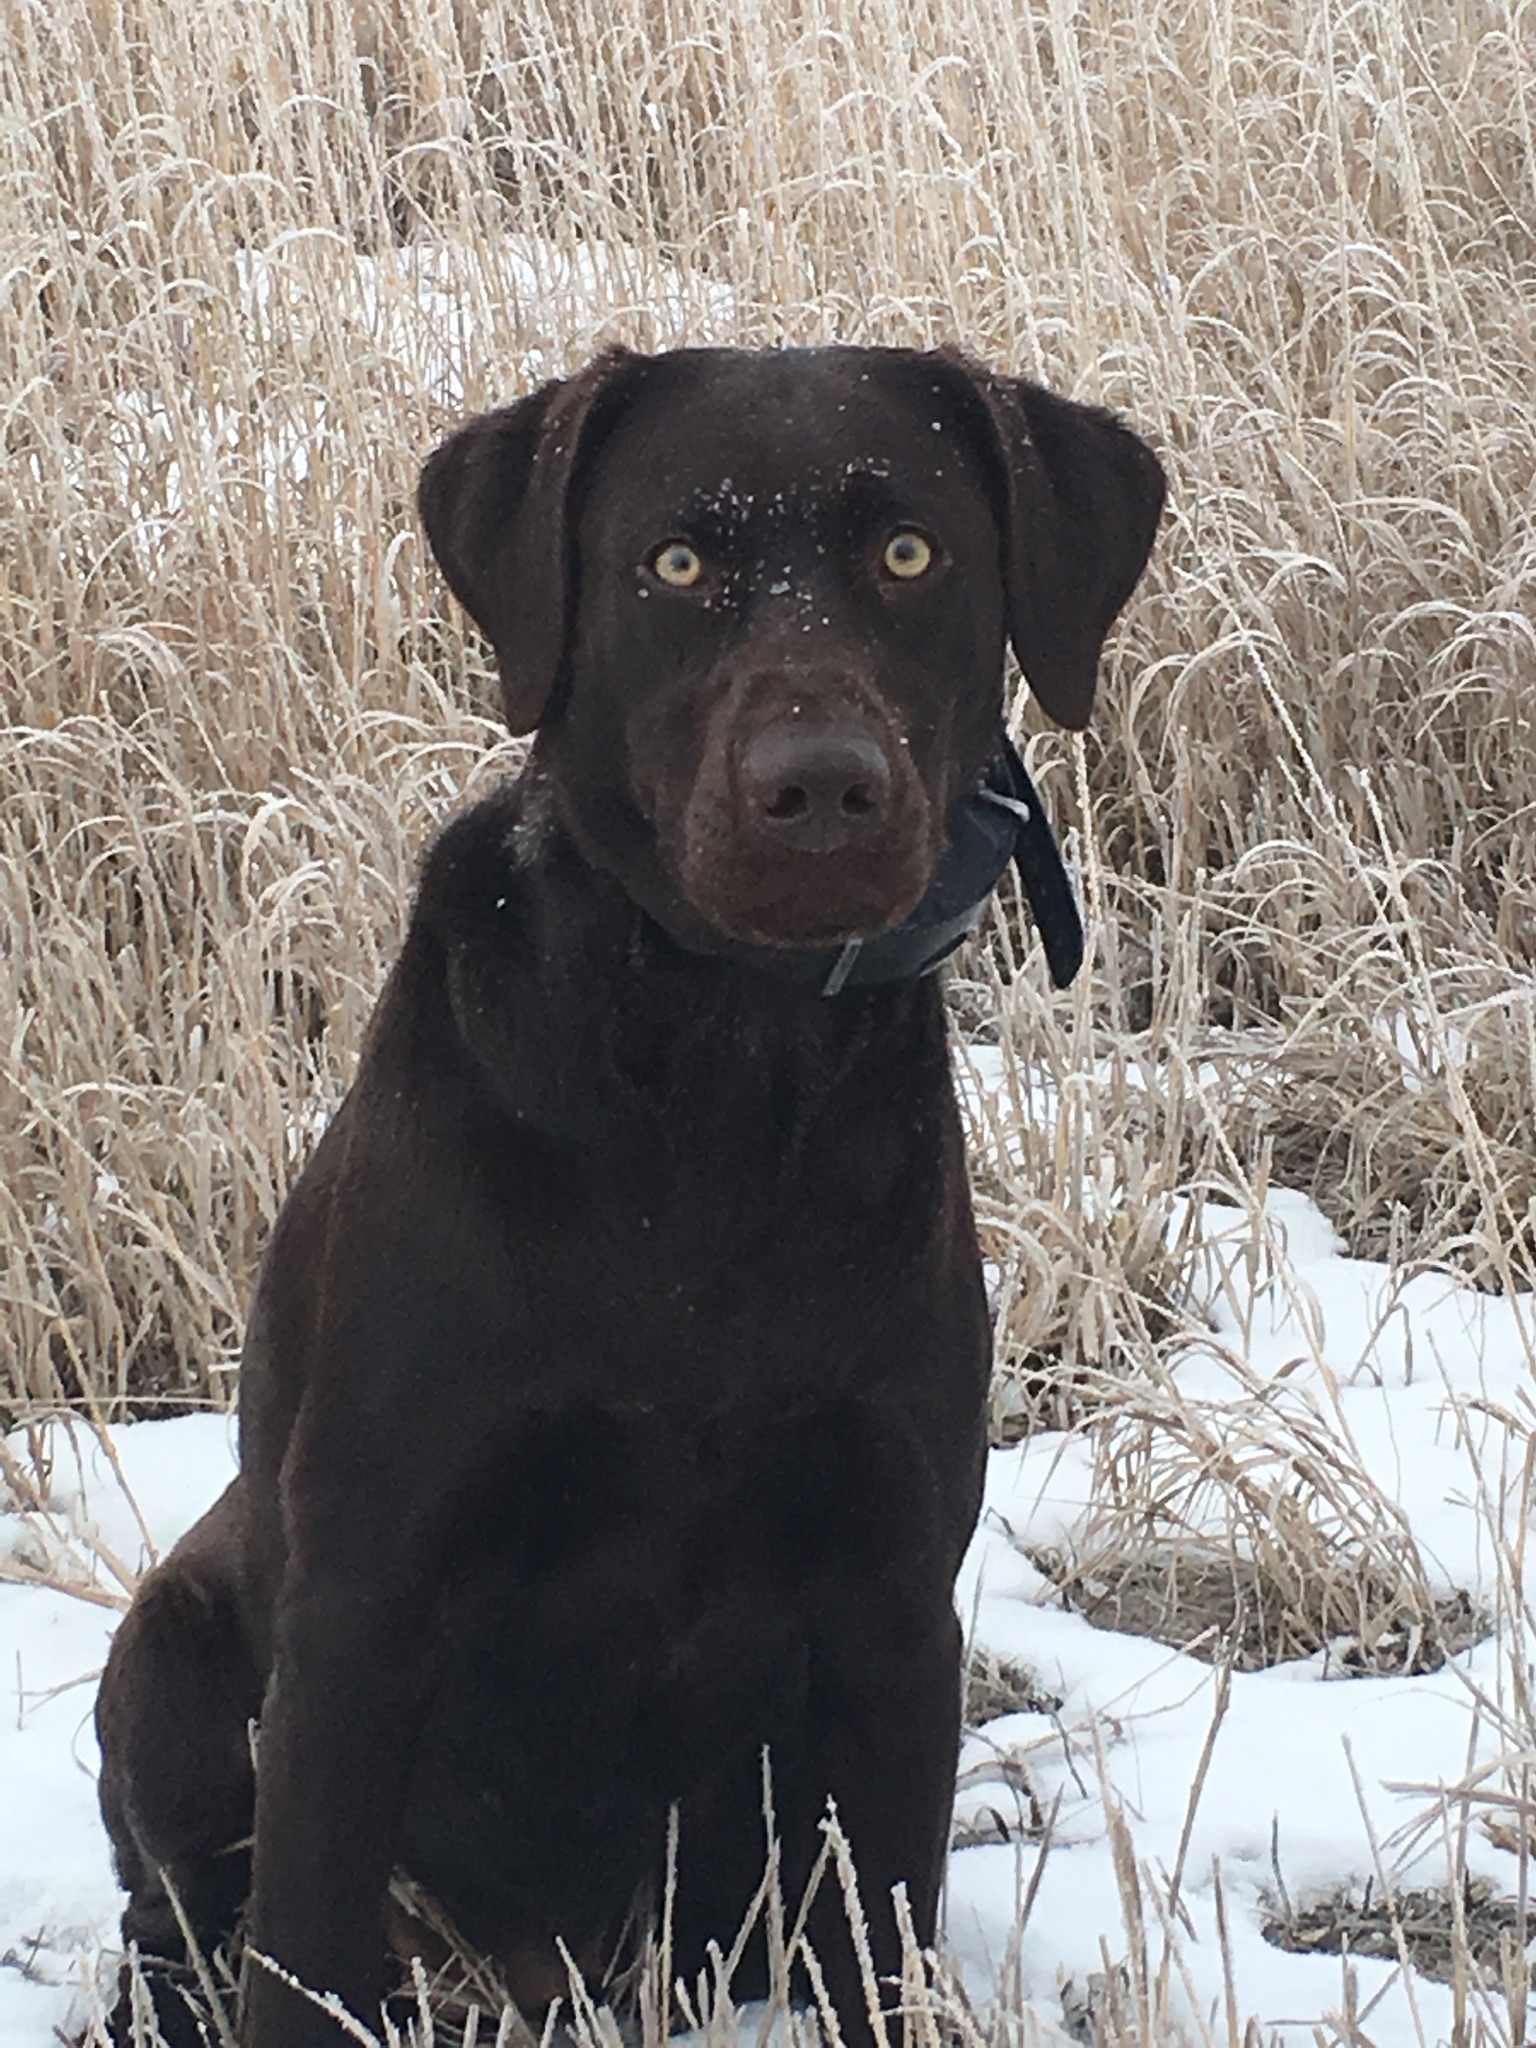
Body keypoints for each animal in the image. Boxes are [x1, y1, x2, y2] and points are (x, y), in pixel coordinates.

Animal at [96, 348, 1163, 2048]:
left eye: (911, 553)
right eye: (670, 563)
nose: (819, 788)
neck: (719, 1072)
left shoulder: (891, 1604)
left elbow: (883, 1939)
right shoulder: (364, 1602)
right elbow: (305, 1957)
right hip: (178, 1644)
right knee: (178, 1913)